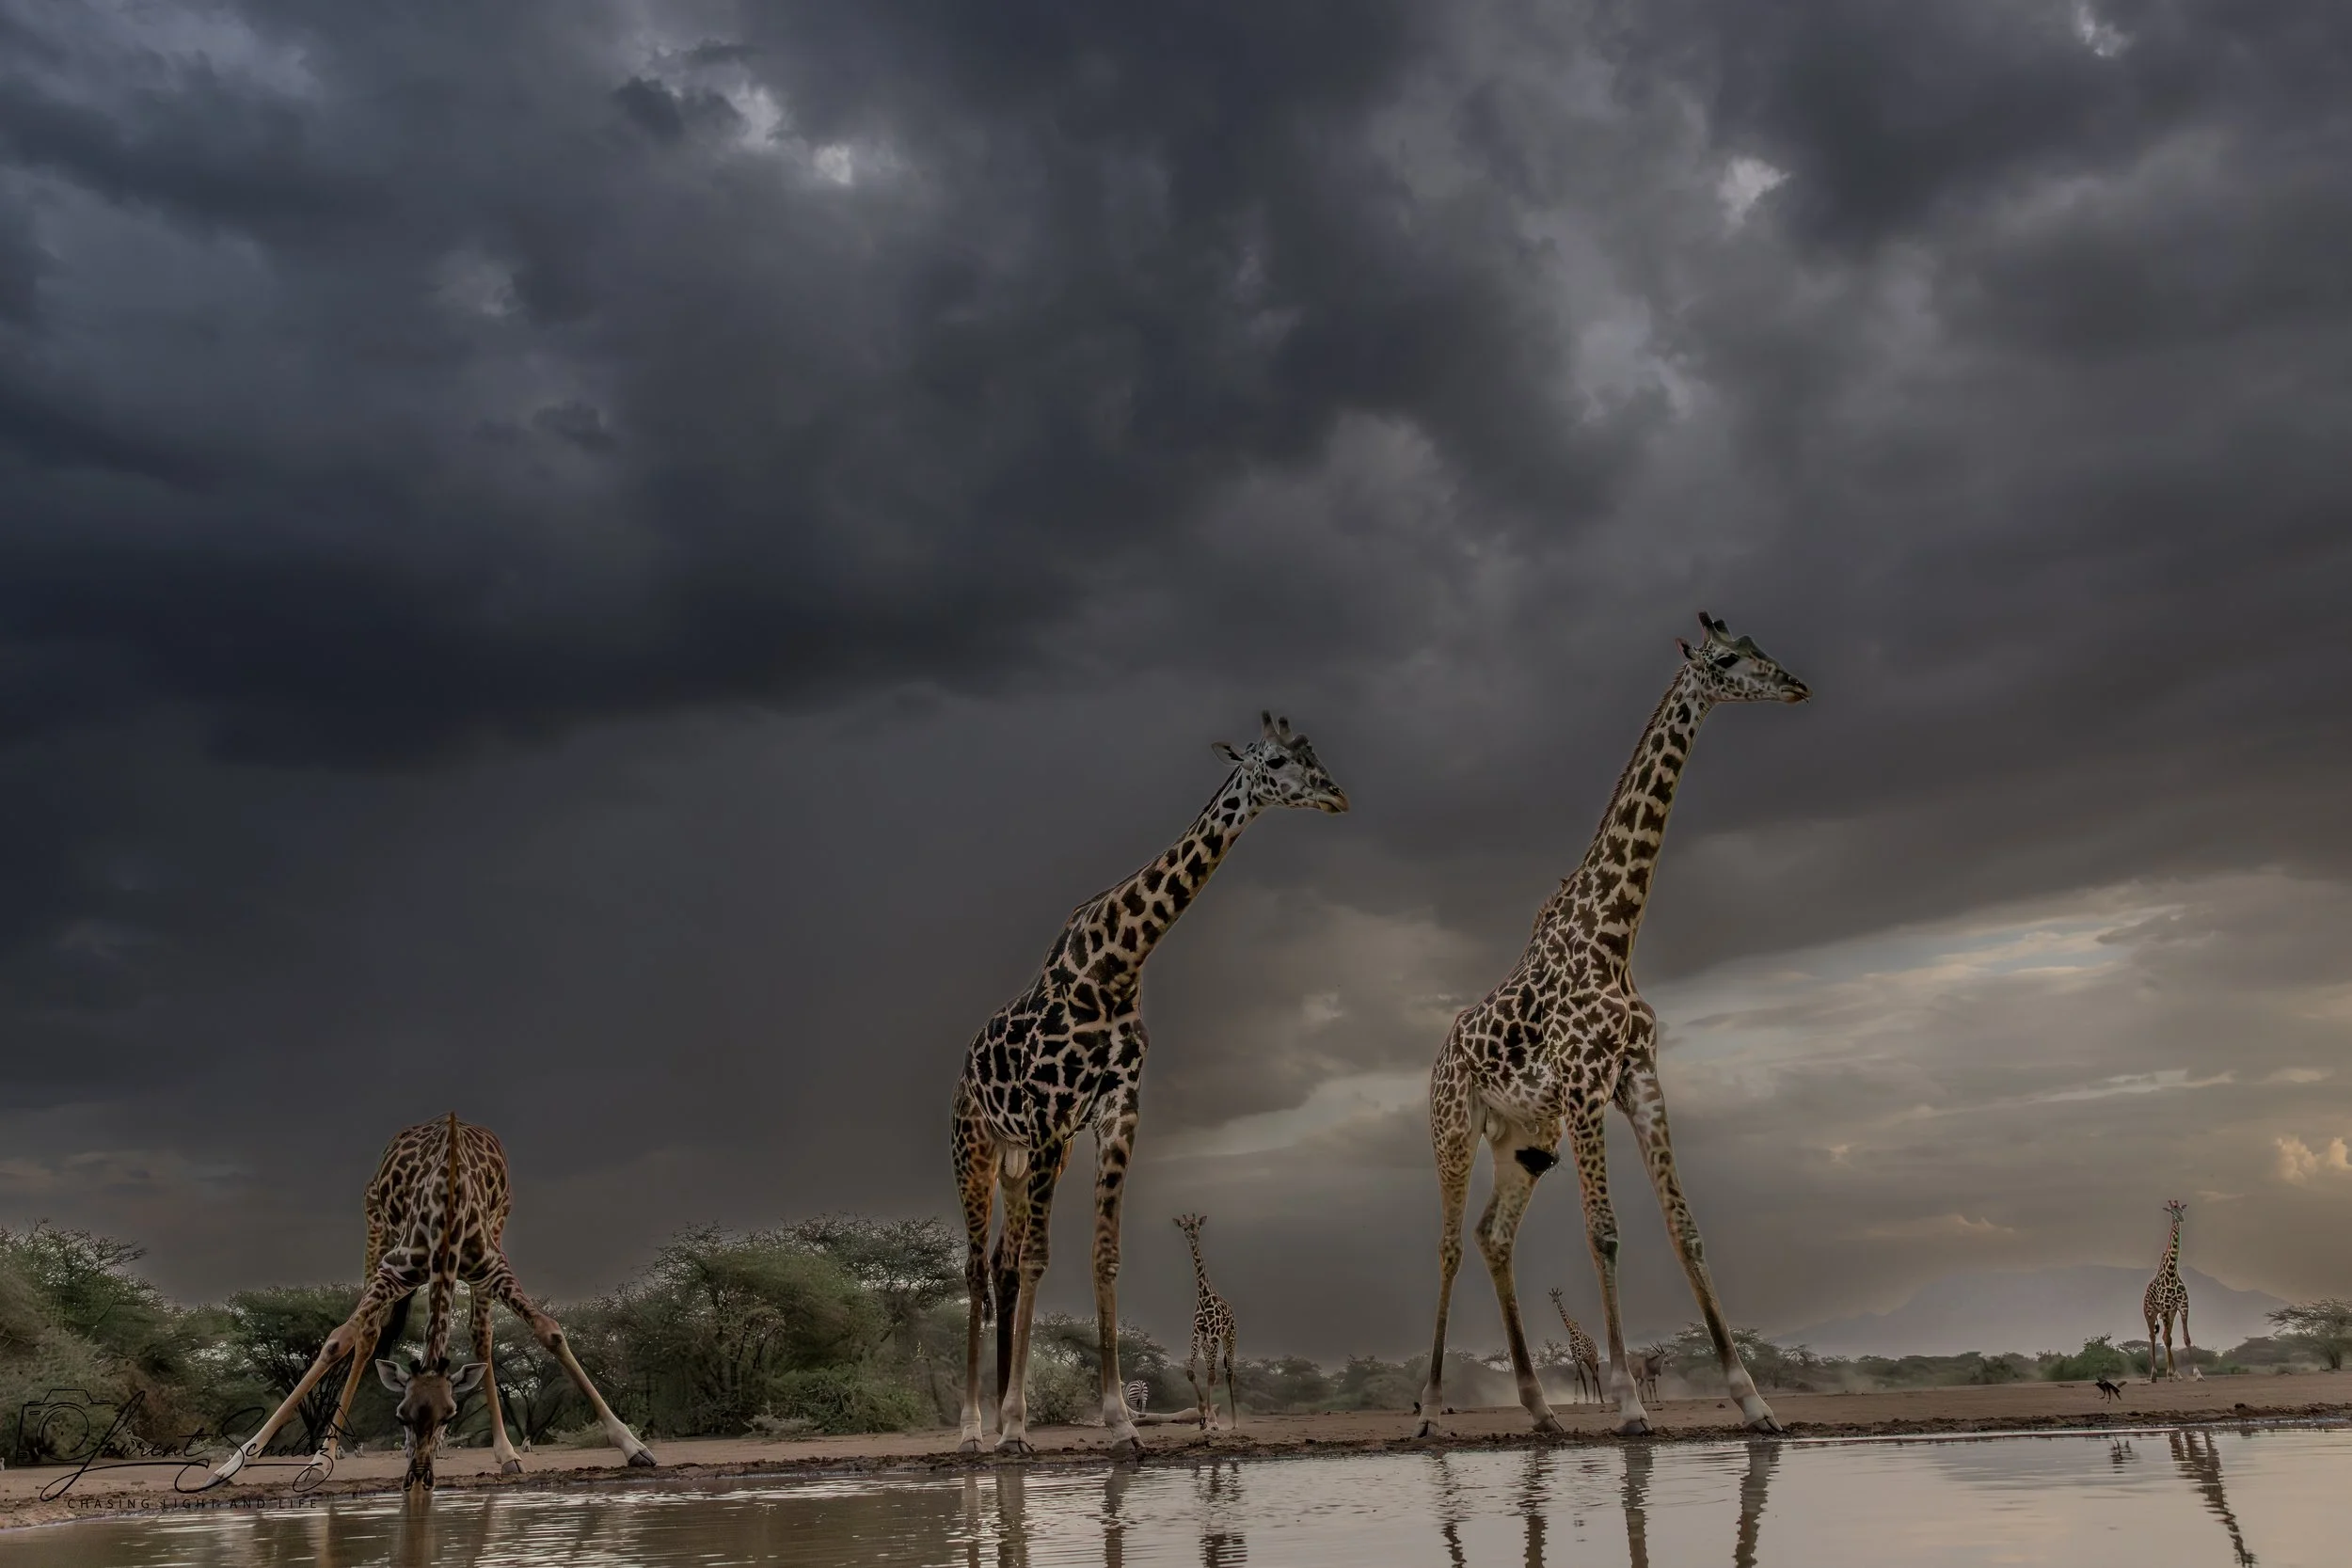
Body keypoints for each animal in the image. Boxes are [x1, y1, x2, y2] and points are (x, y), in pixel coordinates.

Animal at [201, 1113, 654, 1493]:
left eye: (450, 1414)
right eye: (401, 1414)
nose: (420, 1474)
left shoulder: (494, 1266)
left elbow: (551, 1331)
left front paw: (632, 1445)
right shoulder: (394, 1269)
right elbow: (336, 1341)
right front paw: (232, 1464)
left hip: (495, 1234)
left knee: (482, 1335)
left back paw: (507, 1453)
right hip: (376, 1230)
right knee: (367, 1337)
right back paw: (320, 1459)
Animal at [1175, 1213, 1240, 1430]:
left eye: (1197, 1226)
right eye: (1184, 1227)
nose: (1192, 1236)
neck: (1204, 1297)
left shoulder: (1213, 1335)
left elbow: (1212, 1376)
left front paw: (1211, 1418)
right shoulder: (1198, 1335)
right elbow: (1190, 1372)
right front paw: (1202, 1412)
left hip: (1229, 1338)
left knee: (1229, 1373)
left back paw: (1235, 1422)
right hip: (1208, 1344)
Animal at [1415, 612, 1807, 1438]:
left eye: (1760, 647)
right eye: (1728, 661)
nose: (1795, 684)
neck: (1615, 934)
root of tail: (1436, 1056)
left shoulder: (1638, 1079)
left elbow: (1685, 1226)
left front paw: (1753, 1398)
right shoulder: (1584, 1085)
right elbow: (1605, 1231)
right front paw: (1630, 1403)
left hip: (1524, 1140)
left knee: (1494, 1235)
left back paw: (1541, 1409)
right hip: (1454, 1125)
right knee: (1449, 1244)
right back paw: (1430, 1411)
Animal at [2143, 1199, 2194, 1380]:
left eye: (2181, 1210)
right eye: (2172, 1211)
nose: (2181, 1218)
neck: (2171, 1272)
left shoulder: (2182, 1306)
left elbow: (2186, 1338)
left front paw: (2197, 1374)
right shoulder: (2164, 1308)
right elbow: (2168, 1340)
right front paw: (2172, 1374)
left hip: (2170, 1313)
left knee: (2165, 1336)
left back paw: (2173, 1373)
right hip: (2150, 1312)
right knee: (2153, 1337)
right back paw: (2154, 1374)